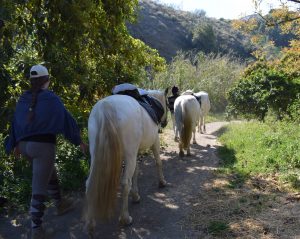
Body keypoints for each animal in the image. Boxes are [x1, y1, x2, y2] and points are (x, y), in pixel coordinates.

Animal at [85, 89, 169, 237]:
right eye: (167, 103)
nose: (165, 122)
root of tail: (106, 106)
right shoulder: (154, 142)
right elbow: (158, 162)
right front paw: (161, 182)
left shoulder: (135, 152)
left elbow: (136, 172)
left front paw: (135, 195)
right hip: (129, 153)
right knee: (125, 183)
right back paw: (125, 218)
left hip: (96, 154)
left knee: (90, 183)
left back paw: (90, 225)